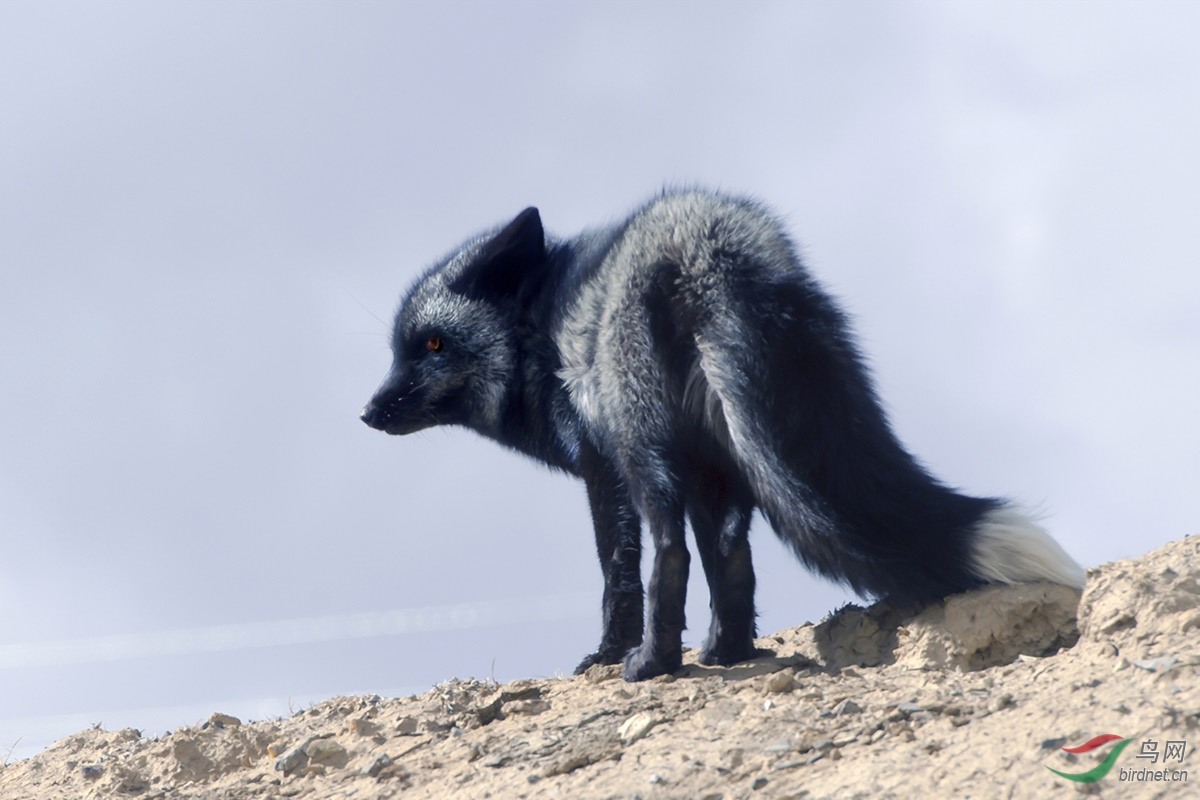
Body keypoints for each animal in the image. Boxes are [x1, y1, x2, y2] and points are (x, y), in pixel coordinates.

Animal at [360, 189, 1084, 681]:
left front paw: (609, 653)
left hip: (651, 455)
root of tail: (702, 246)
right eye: (398, 351)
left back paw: (655, 662)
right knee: (732, 555)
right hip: (727, 455)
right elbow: (717, 560)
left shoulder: (605, 469)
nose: (368, 412)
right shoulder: (703, 468)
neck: (542, 333)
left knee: (671, 553)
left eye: (431, 344)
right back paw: (728, 652)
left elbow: (619, 575)